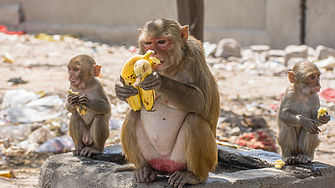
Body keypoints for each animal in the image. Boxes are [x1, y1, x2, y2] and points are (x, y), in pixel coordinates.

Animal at [115, 18, 220, 188]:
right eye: (148, 43)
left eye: (161, 42)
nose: (153, 52)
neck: (171, 67)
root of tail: (165, 167)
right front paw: (121, 88)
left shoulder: (195, 56)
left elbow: (203, 104)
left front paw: (159, 81)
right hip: (153, 157)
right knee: (133, 115)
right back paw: (143, 170)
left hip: (197, 159)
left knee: (194, 120)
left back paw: (194, 176)